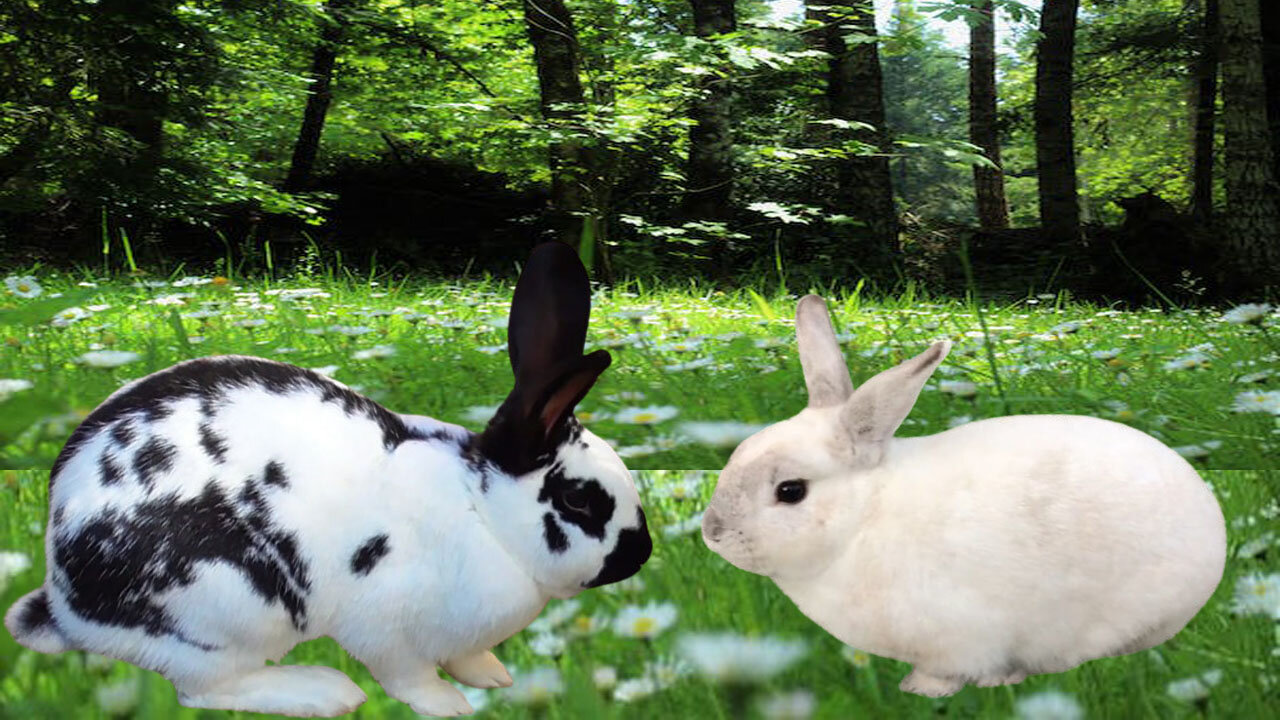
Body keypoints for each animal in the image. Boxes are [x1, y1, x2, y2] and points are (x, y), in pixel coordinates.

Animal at [5, 240, 655, 712]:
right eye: (577, 501)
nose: (640, 554)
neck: (483, 513)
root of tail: (64, 603)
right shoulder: (386, 628)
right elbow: (409, 677)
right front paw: (450, 706)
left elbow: (468, 657)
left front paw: (493, 677)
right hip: (225, 610)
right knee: (204, 689)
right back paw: (323, 691)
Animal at [706, 293, 1223, 696]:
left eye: (790, 491)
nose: (713, 532)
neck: (864, 518)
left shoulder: (961, 635)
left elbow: (950, 670)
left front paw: (921, 689)